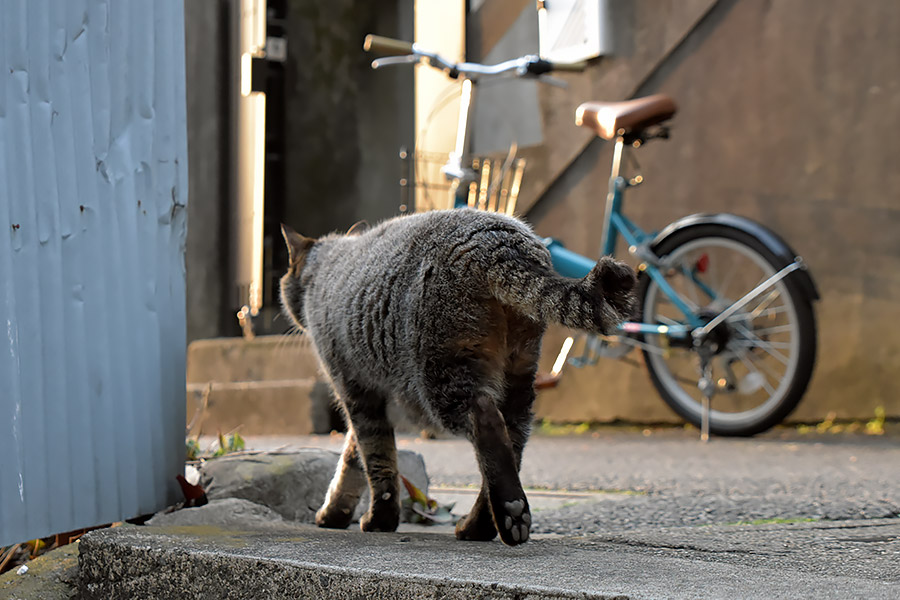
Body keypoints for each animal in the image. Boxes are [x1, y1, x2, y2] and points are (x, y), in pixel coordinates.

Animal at [278, 209, 636, 548]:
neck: (325, 268)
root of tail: (501, 241)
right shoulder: (374, 398)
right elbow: (354, 458)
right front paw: (336, 511)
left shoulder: (356, 391)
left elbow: (376, 460)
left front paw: (380, 519)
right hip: (518, 377)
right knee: (512, 443)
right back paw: (486, 524)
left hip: (442, 378)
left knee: (486, 423)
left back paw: (507, 512)